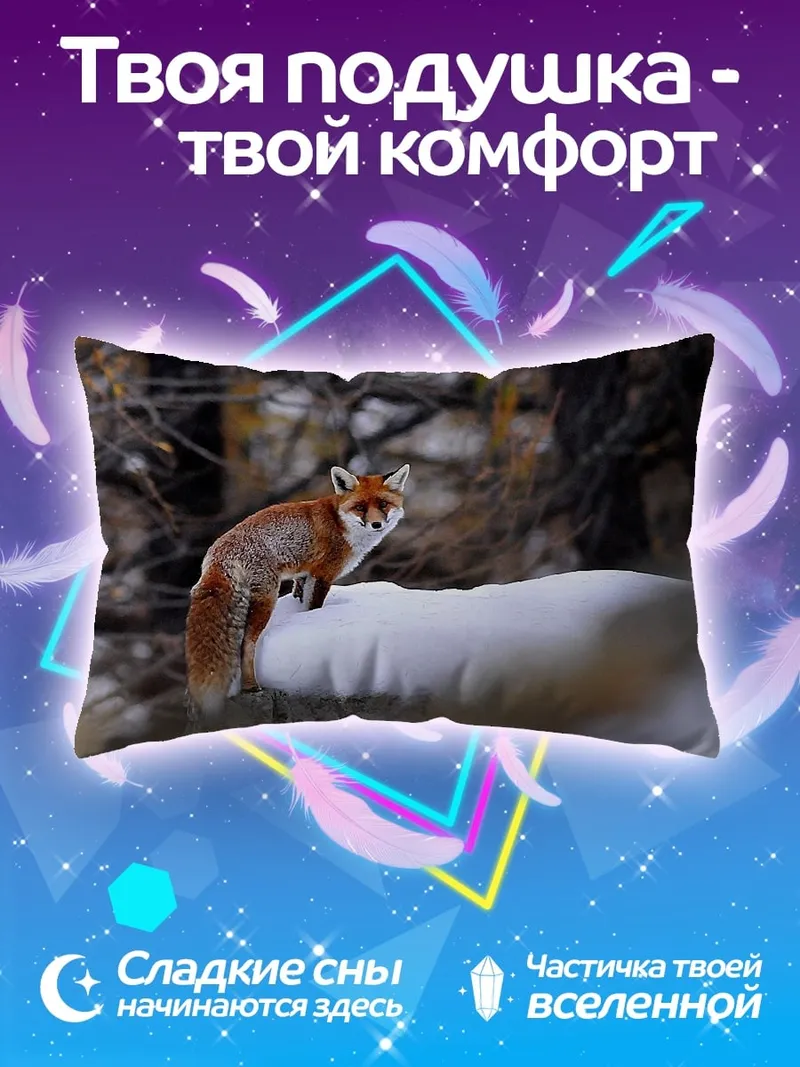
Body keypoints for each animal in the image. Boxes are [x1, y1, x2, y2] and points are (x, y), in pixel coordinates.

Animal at [185, 462, 410, 721]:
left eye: (383, 504)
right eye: (360, 507)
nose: (376, 525)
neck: (340, 523)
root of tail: (218, 554)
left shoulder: (303, 576)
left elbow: (300, 604)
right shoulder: (322, 575)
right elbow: (314, 607)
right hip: (266, 599)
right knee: (246, 644)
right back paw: (251, 687)